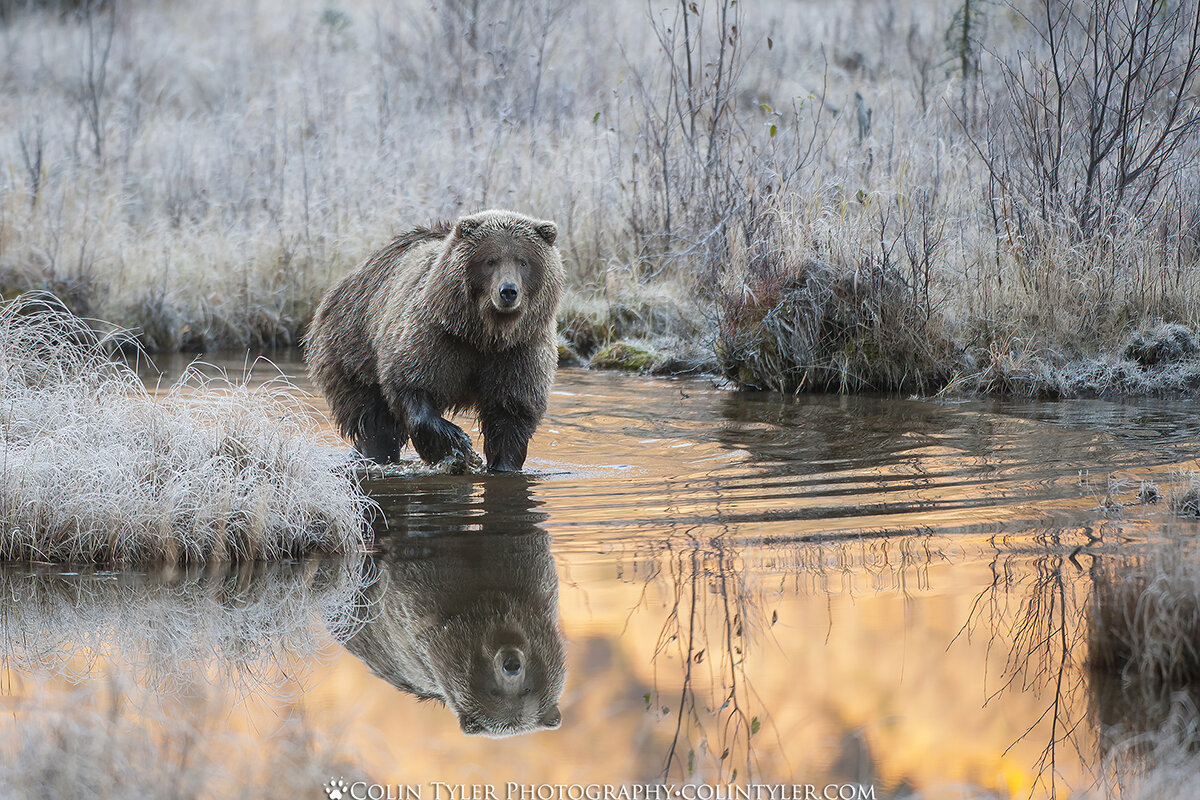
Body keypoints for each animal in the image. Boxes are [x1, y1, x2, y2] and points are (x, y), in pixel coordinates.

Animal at [300, 209, 561, 472]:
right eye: (490, 260)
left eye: (523, 261)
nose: (508, 291)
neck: (483, 335)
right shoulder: (437, 336)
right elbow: (412, 385)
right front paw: (457, 444)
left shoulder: (519, 350)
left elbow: (511, 413)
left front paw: (503, 464)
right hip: (352, 350)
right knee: (375, 421)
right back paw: (375, 456)